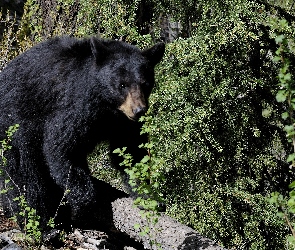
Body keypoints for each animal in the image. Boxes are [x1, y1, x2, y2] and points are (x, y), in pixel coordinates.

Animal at [0, 36, 166, 231]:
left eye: (145, 84)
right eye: (122, 85)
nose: (139, 110)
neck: (107, 108)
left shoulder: (124, 123)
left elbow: (131, 152)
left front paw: (149, 197)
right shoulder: (76, 105)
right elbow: (62, 148)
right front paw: (84, 206)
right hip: (14, 124)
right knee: (23, 175)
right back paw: (41, 225)